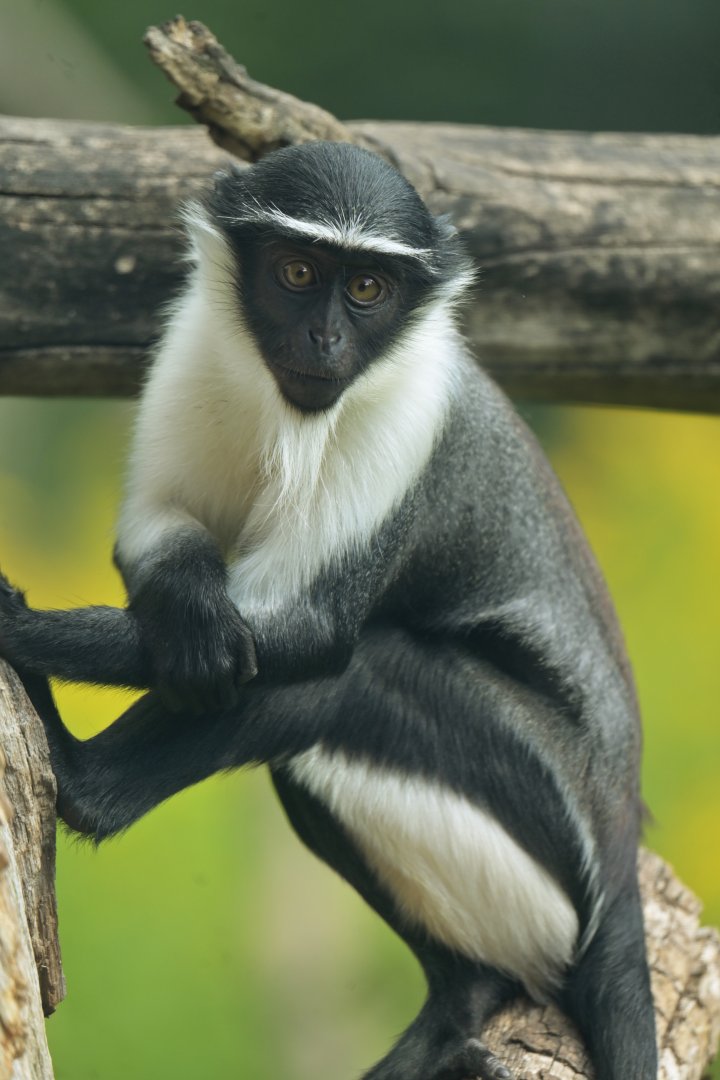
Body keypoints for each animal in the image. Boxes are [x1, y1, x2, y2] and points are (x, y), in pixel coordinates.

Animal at [0, 141, 657, 1080]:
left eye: (369, 288)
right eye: (298, 272)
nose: (327, 338)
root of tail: (620, 840)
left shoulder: (404, 420)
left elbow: (308, 632)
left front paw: (16, 624)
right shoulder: (195, 342)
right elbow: (161, 529)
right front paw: (194, 613)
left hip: (537, 791)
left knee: (352, 674)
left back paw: (83, 780)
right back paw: (457, 1008)